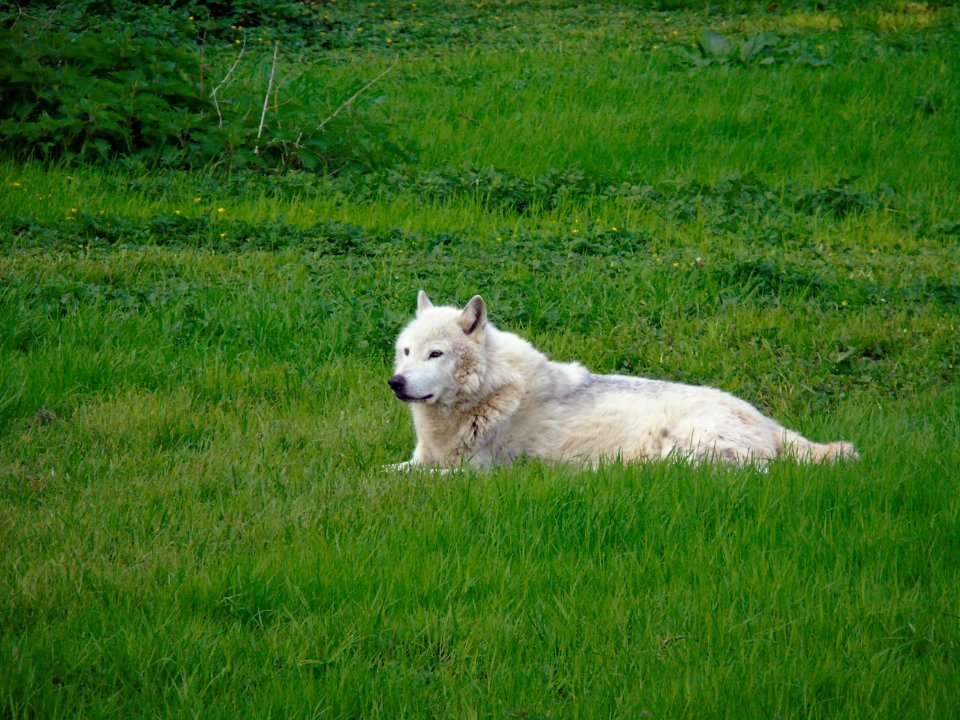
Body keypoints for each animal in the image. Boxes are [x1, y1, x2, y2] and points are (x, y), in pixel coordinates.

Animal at [386, 292, 860, 472]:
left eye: (436, 354)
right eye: (407, 351)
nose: (396, 382)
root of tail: (768, 422)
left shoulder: (472, 472)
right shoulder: (425, 459)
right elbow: (385, 471)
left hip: (684, 448)